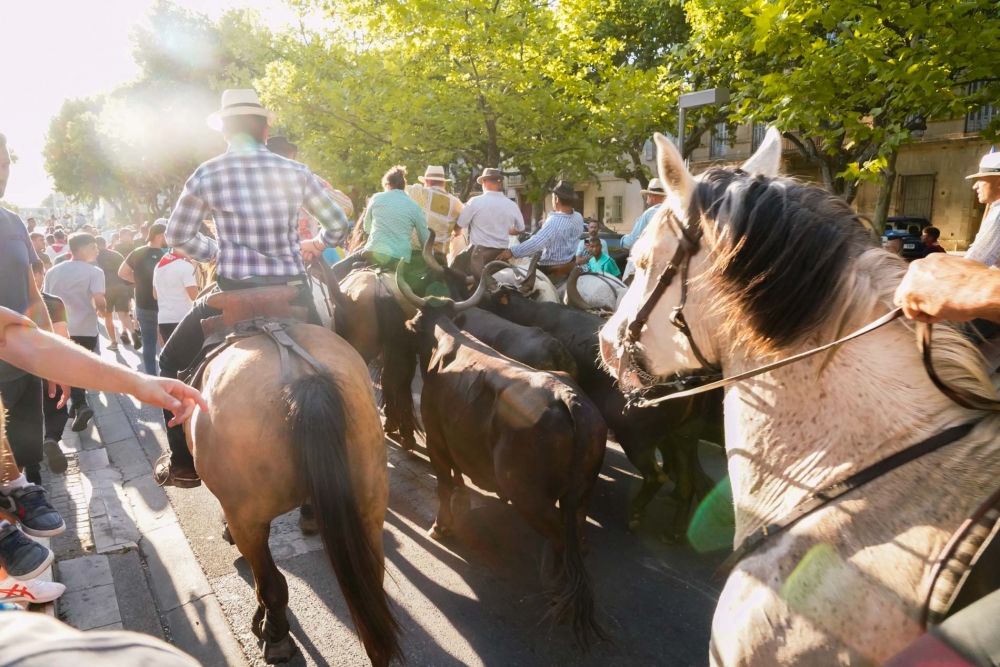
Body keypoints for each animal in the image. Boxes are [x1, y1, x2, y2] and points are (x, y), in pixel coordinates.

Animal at [189, 322, 400, 664]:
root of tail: (305, 378)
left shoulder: (246, 520)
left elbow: (266, 581)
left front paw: (264, 625)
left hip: (247, 519)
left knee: (270, 585)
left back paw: (275, 636)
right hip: (369, 508)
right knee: (372, 583)